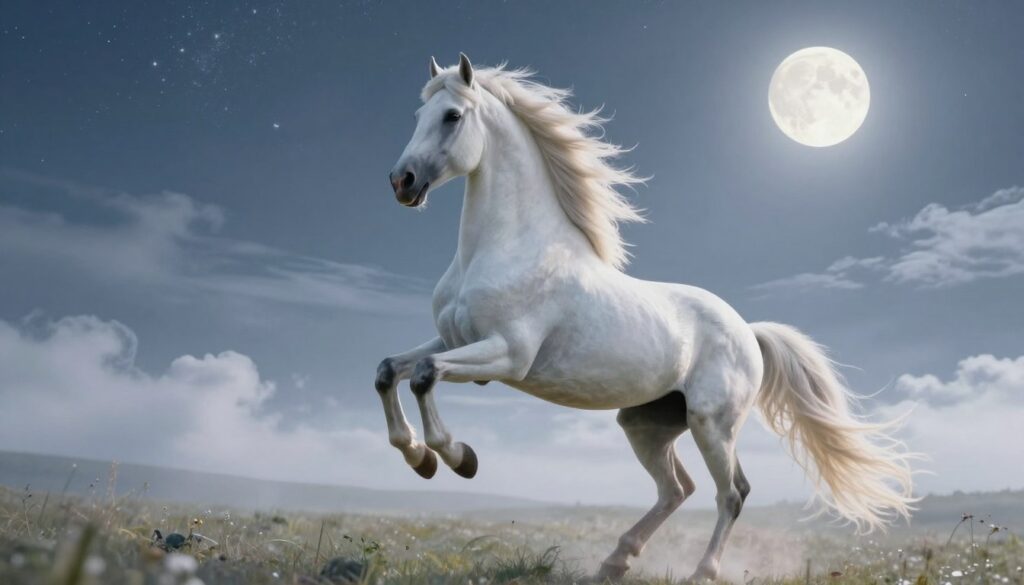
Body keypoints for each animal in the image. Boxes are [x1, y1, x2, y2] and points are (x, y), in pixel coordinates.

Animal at [376, 53, 915, 581]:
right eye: (419, 115)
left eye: (452, 116)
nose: (402, 182)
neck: (506, 248)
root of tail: (748, 332)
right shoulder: (452, 340)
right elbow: (389, 371)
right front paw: (419, 457)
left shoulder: (509, 355)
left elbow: (423, 376)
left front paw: (455, 457)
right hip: (646, 423)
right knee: (677, 489)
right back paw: (614, 561)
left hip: (712, 423)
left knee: (731, 492)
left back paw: (702, 572)